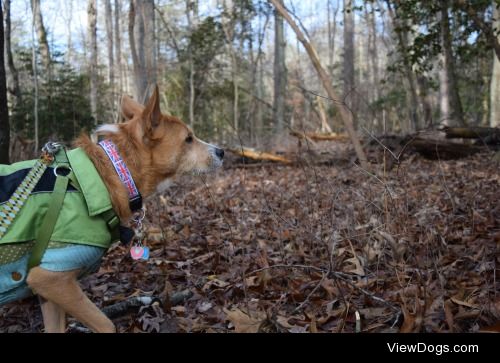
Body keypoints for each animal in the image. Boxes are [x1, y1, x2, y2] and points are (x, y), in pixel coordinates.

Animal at [23, 87, 223, 332]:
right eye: (188, 139)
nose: (222, 152)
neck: (112, 171)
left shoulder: (48, 294)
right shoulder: (48, 278)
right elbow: (106, 324)